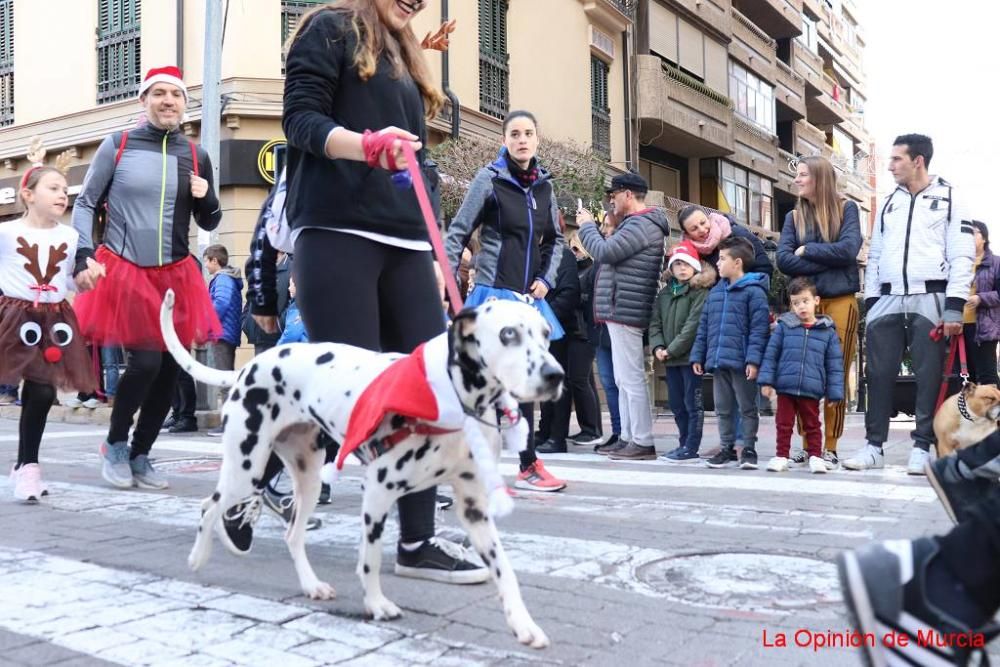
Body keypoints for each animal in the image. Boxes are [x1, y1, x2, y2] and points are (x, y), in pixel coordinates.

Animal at [157, 290, 564, 648]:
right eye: (508, 334)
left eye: (546, 333)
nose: (555, 374)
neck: (454, 398)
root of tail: (248, 367)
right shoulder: (379, 491)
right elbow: (370, 559)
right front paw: (377, 605)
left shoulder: (475, 510)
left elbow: (504, 571)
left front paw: (524, 625)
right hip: (247, 465)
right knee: (209, 506)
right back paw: (199, 556)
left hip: (307, 478)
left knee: (292, 535)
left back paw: (311, 585)